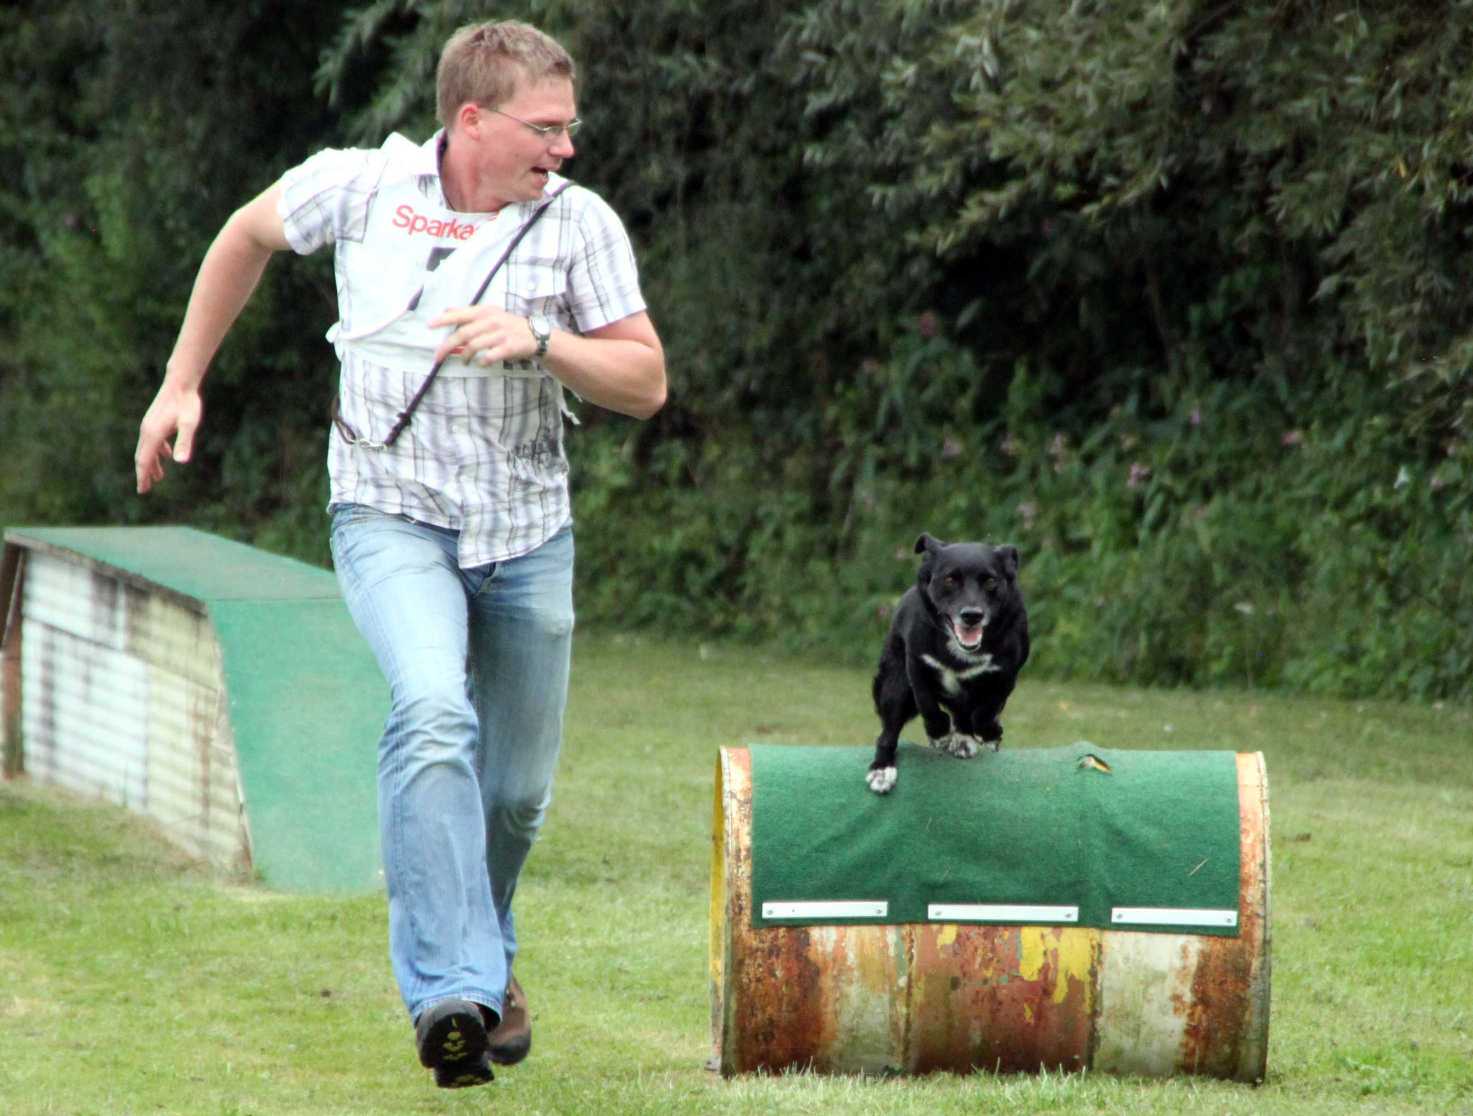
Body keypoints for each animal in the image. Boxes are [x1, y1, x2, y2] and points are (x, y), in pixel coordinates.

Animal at [866, 532, 1031, 795]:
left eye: (990, 581)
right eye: (950, 579)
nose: (972, 615)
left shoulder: (1005, 674)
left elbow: (986, 710)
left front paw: (988, 733)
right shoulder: (917, 664)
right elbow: (927, 704)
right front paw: (939, 733)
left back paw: (965, 738)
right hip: (893, 684)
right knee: (888, 732)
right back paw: (882, 770)